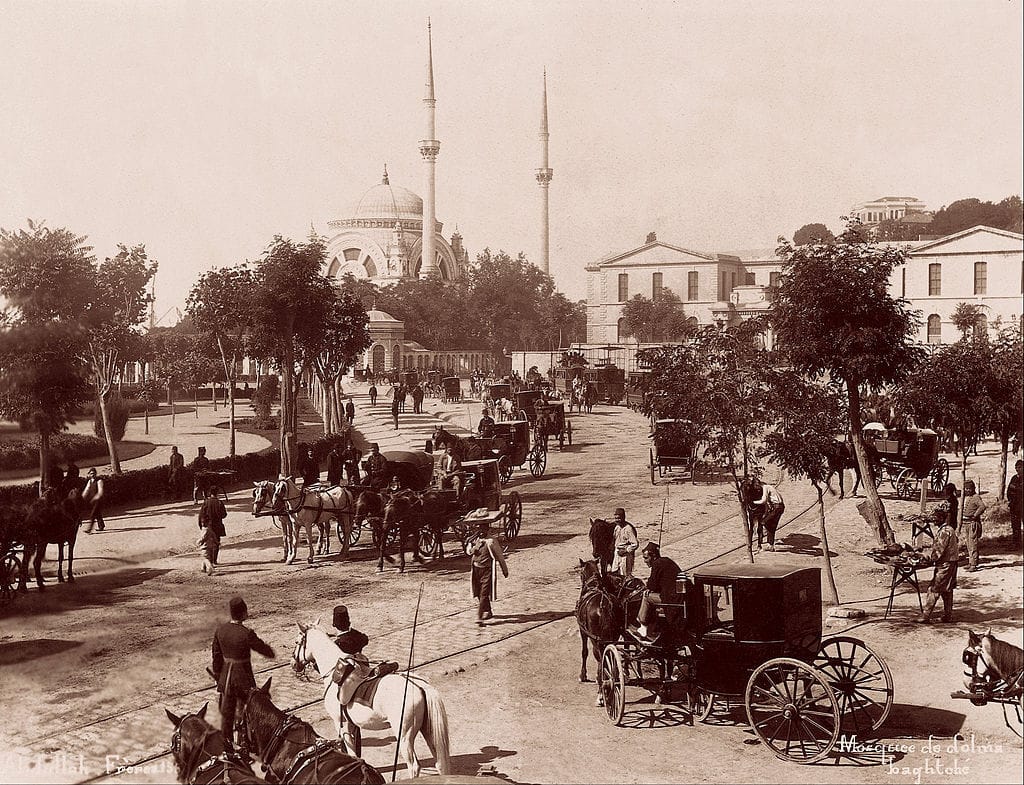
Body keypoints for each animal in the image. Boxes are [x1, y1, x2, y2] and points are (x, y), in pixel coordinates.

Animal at [291, 624, 451, 779]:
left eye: (297, 642)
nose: (293, 663)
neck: (336, 674)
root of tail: (419, 686)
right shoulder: (352, 725)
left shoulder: (340, 724)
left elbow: (350, 751)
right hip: (428, 731)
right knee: (440, 763)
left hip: (404, 737)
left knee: (414, 767)